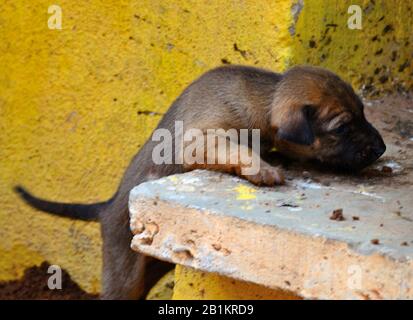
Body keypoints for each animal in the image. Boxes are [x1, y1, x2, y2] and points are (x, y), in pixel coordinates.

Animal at [14, 63, 384, 298]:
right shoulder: (202, 139)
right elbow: (237, 149)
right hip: (124, 274)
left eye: (363, 112)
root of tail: (106, 207)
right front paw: (262, 168)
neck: (262, 100)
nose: (381, 148)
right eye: (342, 127)